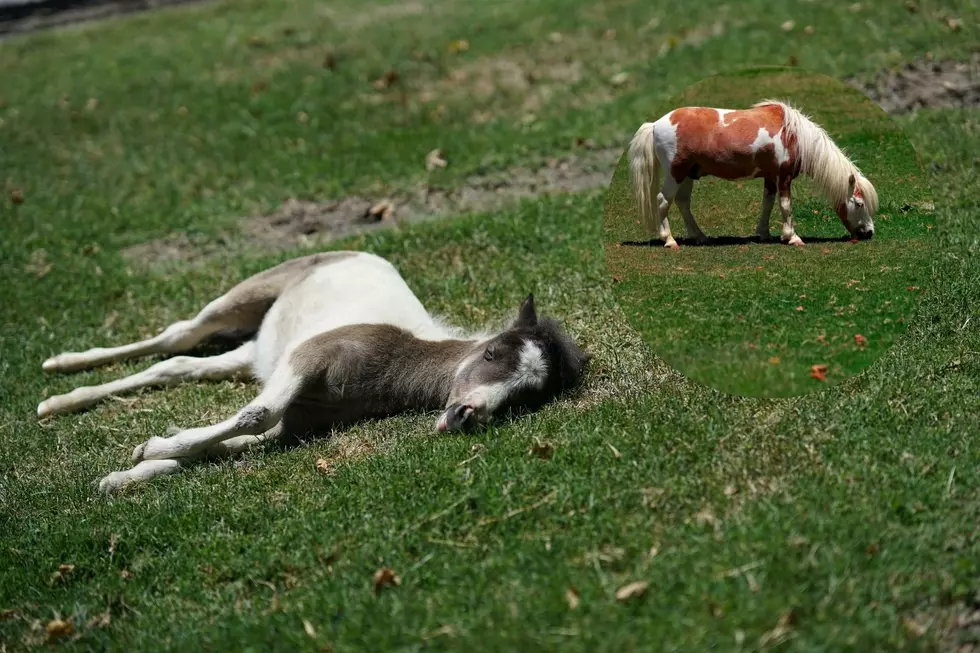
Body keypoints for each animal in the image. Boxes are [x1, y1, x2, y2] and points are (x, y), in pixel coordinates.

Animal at [37, 251, 590, 493]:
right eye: (493, 354)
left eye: (525, 397)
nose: (465, 416)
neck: (392, 362)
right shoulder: (308, 362)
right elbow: (255, 415)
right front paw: (151, 448)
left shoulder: (296, 422)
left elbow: (227, 444)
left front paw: (126, 474)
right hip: (243, 298)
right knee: (177, 336)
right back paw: (58, 373)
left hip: (257, 353)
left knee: (178, 366)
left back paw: (62, 400)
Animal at [628, 99, 879, 248]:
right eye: (859, 204)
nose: (869, 232)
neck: (793, 135)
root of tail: (656, 124)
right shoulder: (784, 176)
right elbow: (785, 205)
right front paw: (792, 237)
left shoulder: (770, 177)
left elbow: (767, 203)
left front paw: (764, 234)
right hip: (676, 173)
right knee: (663, 201)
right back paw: (669, 241)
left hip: (688, 174)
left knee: (682, 202)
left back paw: (699, 237)